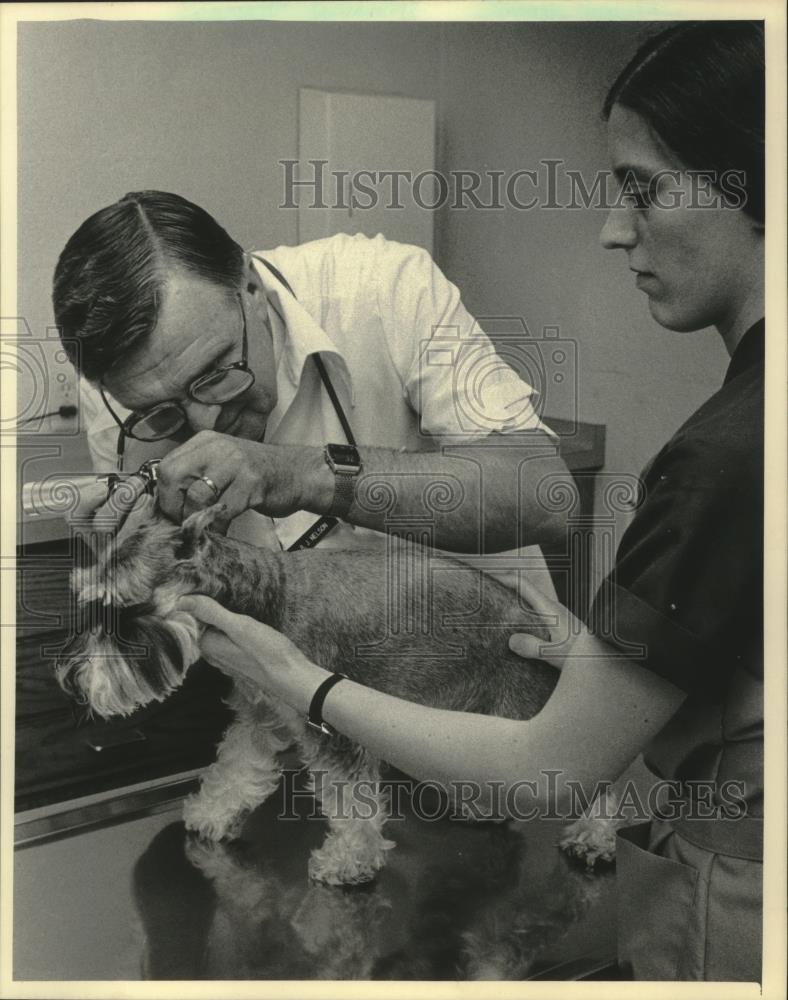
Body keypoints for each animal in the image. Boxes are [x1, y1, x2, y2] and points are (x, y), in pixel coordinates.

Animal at [58, 504, 568, 888]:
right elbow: (237, 766)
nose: (73, 680)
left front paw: (349, 864)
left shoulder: (334, 732)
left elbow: (351, 804)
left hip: (526, 711)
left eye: (126, 613)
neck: (268, 595)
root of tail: (538, 626)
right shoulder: (261, 714)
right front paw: (211, 813)